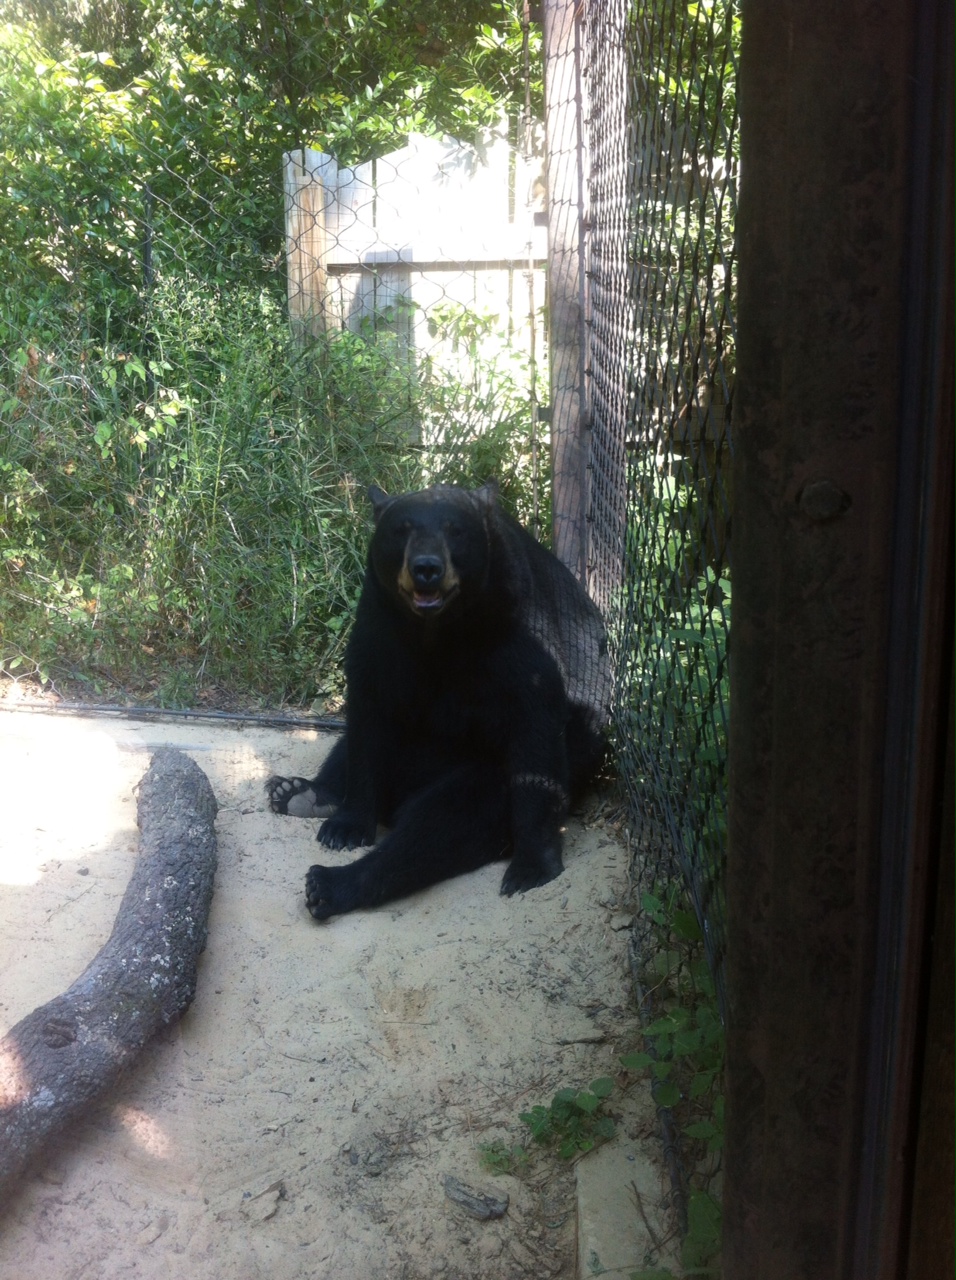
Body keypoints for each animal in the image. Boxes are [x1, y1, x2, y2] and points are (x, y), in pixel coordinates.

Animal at [267, 482, 611, 920]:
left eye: (455, 530)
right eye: (401, 529)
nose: (426, 568)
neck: (439, 629)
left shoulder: (519, 630)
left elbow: (535, 723)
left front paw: (532, 867)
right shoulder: (378, 620)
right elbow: (367, 708)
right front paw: (346, 825)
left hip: (489, 768)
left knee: (444, 820)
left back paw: (331, 883)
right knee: (347, 748)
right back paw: (300, 794)